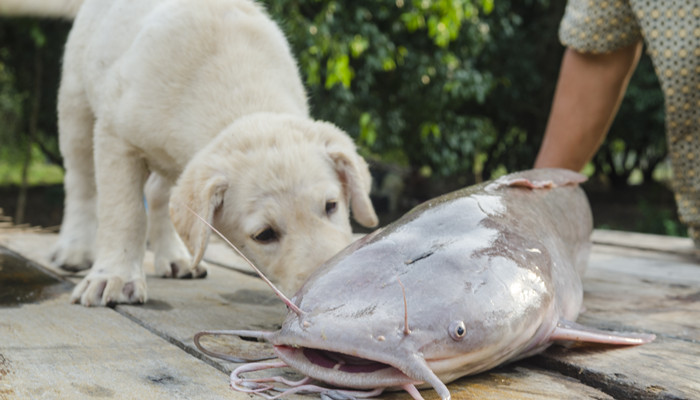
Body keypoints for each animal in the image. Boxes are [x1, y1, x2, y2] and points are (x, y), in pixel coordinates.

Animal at [24, 0, 378, 306]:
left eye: (331, 206)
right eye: (264, 235)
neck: (240, 93)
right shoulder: (116, 137)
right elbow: (124, 212)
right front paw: (115, 276)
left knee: (160, 196)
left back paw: (176, 257)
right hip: (76, 103)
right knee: (81, 182)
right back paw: (74, 250)